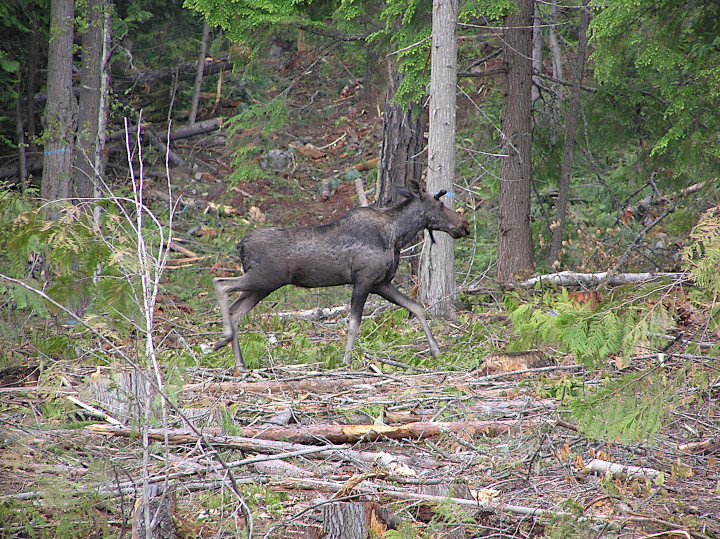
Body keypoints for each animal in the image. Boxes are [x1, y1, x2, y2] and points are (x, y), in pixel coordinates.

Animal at [213, 178, 470, 369]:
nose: (464, 224)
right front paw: (346, 360)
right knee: (220, 283)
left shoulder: (381, 283)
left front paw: (435, 350)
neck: (397, 236)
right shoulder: (364, 279)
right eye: (439, 204)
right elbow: (354, 322)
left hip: (262, 286)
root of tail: (241, 245)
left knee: (236, 311)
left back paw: (239, 362)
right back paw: (222, 339)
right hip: (264, 278)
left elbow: (416, 307)